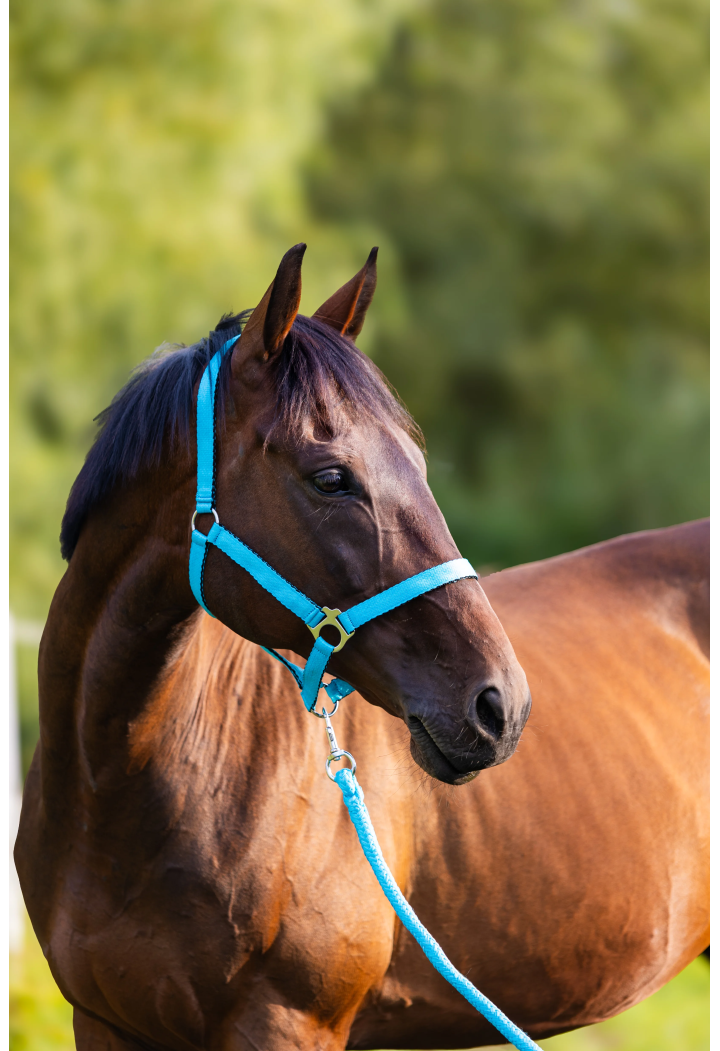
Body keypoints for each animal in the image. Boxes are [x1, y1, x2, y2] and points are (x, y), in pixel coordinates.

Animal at [16, 245, 708, 1051]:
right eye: (331, 477)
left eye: (418, 463)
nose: (500, 705)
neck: (119, 790)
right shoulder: (104, 1021)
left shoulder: (290, 1024)